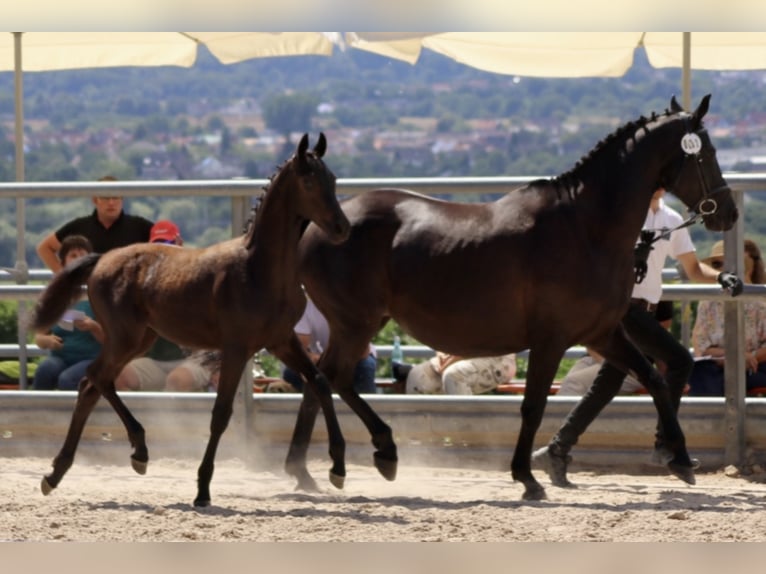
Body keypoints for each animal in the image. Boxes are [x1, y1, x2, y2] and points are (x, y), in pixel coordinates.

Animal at [30, 134, 352, 508]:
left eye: (333, 179)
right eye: (309, 181)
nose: (342, 228)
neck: (260, 269)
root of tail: (102, 260)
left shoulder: (281, 340)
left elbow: (320, 382)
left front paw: (338, 468)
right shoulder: (237, 348)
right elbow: (221, 414)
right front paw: (202, 490)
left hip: (140, 339)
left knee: (91, 385)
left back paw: (64, 471)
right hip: (126, 337)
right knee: (95, 378)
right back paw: (131, 452)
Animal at [288, 97, 736, 502]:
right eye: (707, 153)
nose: (727, 213)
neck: (585, 228)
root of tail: (320, 226)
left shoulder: (601, 333)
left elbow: (654, 379)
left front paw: (680, 460)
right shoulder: (551, 340)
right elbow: (533, 407)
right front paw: (527, 478)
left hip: (356, 325)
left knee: (319, 380)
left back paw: (306, 471)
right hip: (355, 323)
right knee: (332, 379)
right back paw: (372, 456)